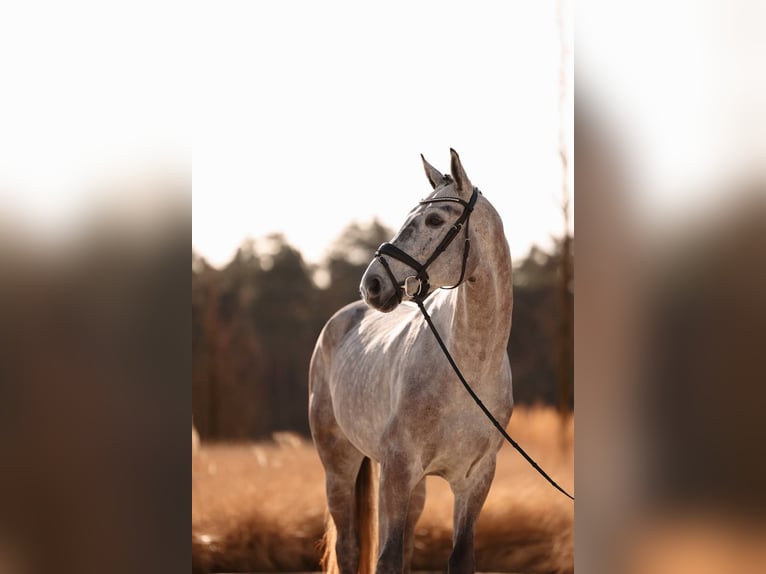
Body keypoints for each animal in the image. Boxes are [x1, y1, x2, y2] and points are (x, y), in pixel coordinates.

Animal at [308, 150, 512, 574]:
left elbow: (457, 557)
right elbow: (385, 560)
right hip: (340, 467)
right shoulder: (398, 470)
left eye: (434, 220)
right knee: (349, 548)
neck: (469, 368)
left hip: (411, 487)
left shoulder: (475, 480)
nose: (372, 284)